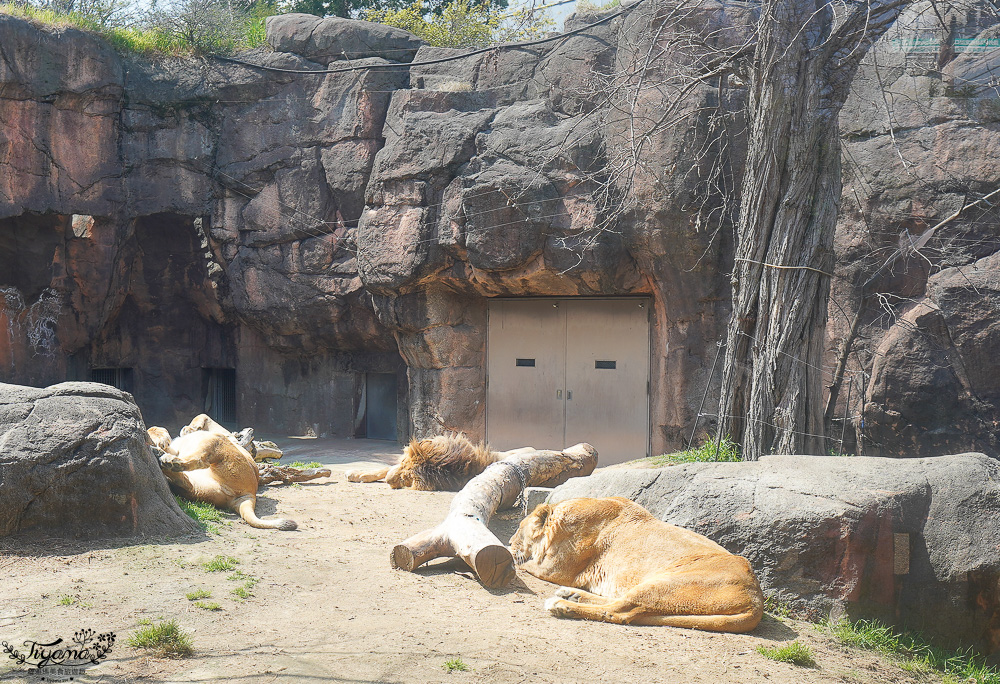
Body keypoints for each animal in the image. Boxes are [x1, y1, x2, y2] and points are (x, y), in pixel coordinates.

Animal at [512, 496, 760, 632]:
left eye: (518, 529)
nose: (509, 541)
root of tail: (756, 599)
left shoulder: (556, 569)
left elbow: (526, 564)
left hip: (664, 584)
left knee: (619, 611)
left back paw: (562, 605)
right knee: (621, 605)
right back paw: (571, 595)